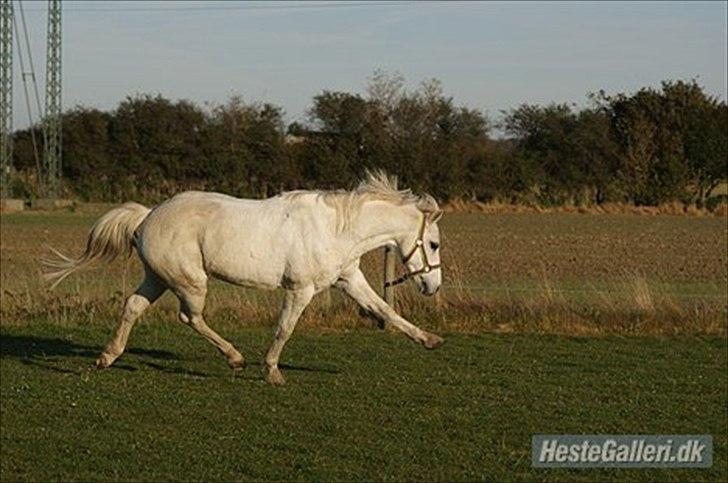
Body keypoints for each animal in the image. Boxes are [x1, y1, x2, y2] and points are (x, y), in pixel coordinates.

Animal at [44, 171, 445, 384]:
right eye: (434, 244)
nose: (432, 286)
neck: (335, 228)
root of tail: (148, 216)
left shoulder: (348, 280)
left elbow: (386, 311)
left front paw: (430, 340)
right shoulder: (300, 290)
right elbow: (284, 329)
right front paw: (272, 372)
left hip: (157, 278)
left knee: (133, 307)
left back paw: (107, 356)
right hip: (190, 281)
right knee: (189, 316)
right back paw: (235, 358)